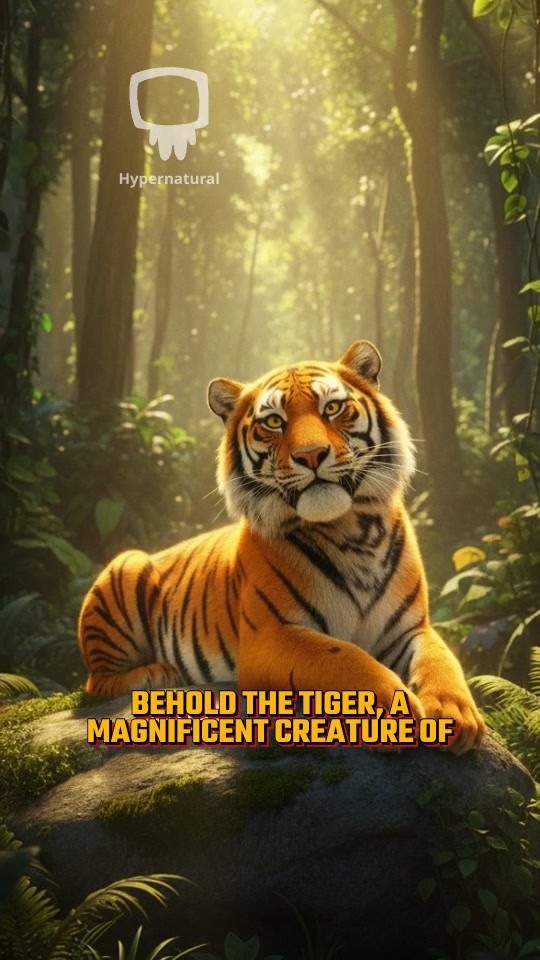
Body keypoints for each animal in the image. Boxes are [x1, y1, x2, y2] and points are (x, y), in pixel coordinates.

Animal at [78, 340, 485, 753]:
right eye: (274, 421)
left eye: (332, 408)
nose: (311, 454)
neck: (352, 530)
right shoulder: (271, 637)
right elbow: (344, 657)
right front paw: (391, 711)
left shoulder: (411, 629)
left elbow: (441, 661)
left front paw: (455, 713)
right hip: (127, 564)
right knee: (97, 682)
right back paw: (159, 674)